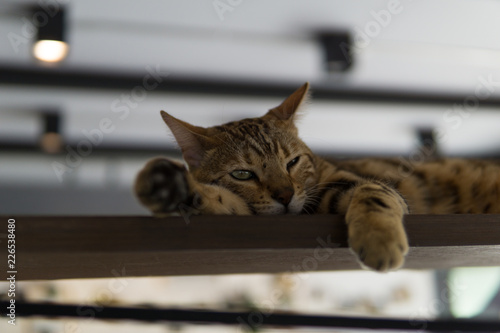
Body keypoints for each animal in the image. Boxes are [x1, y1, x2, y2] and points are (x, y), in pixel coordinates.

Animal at [135, 81, 500, 272]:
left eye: (293, 161)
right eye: (242, 173)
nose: (285, 196)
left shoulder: (354, 184)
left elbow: (375, 195)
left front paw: (379, 239)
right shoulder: (250, 211)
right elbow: (225, 201)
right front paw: (171, 187)